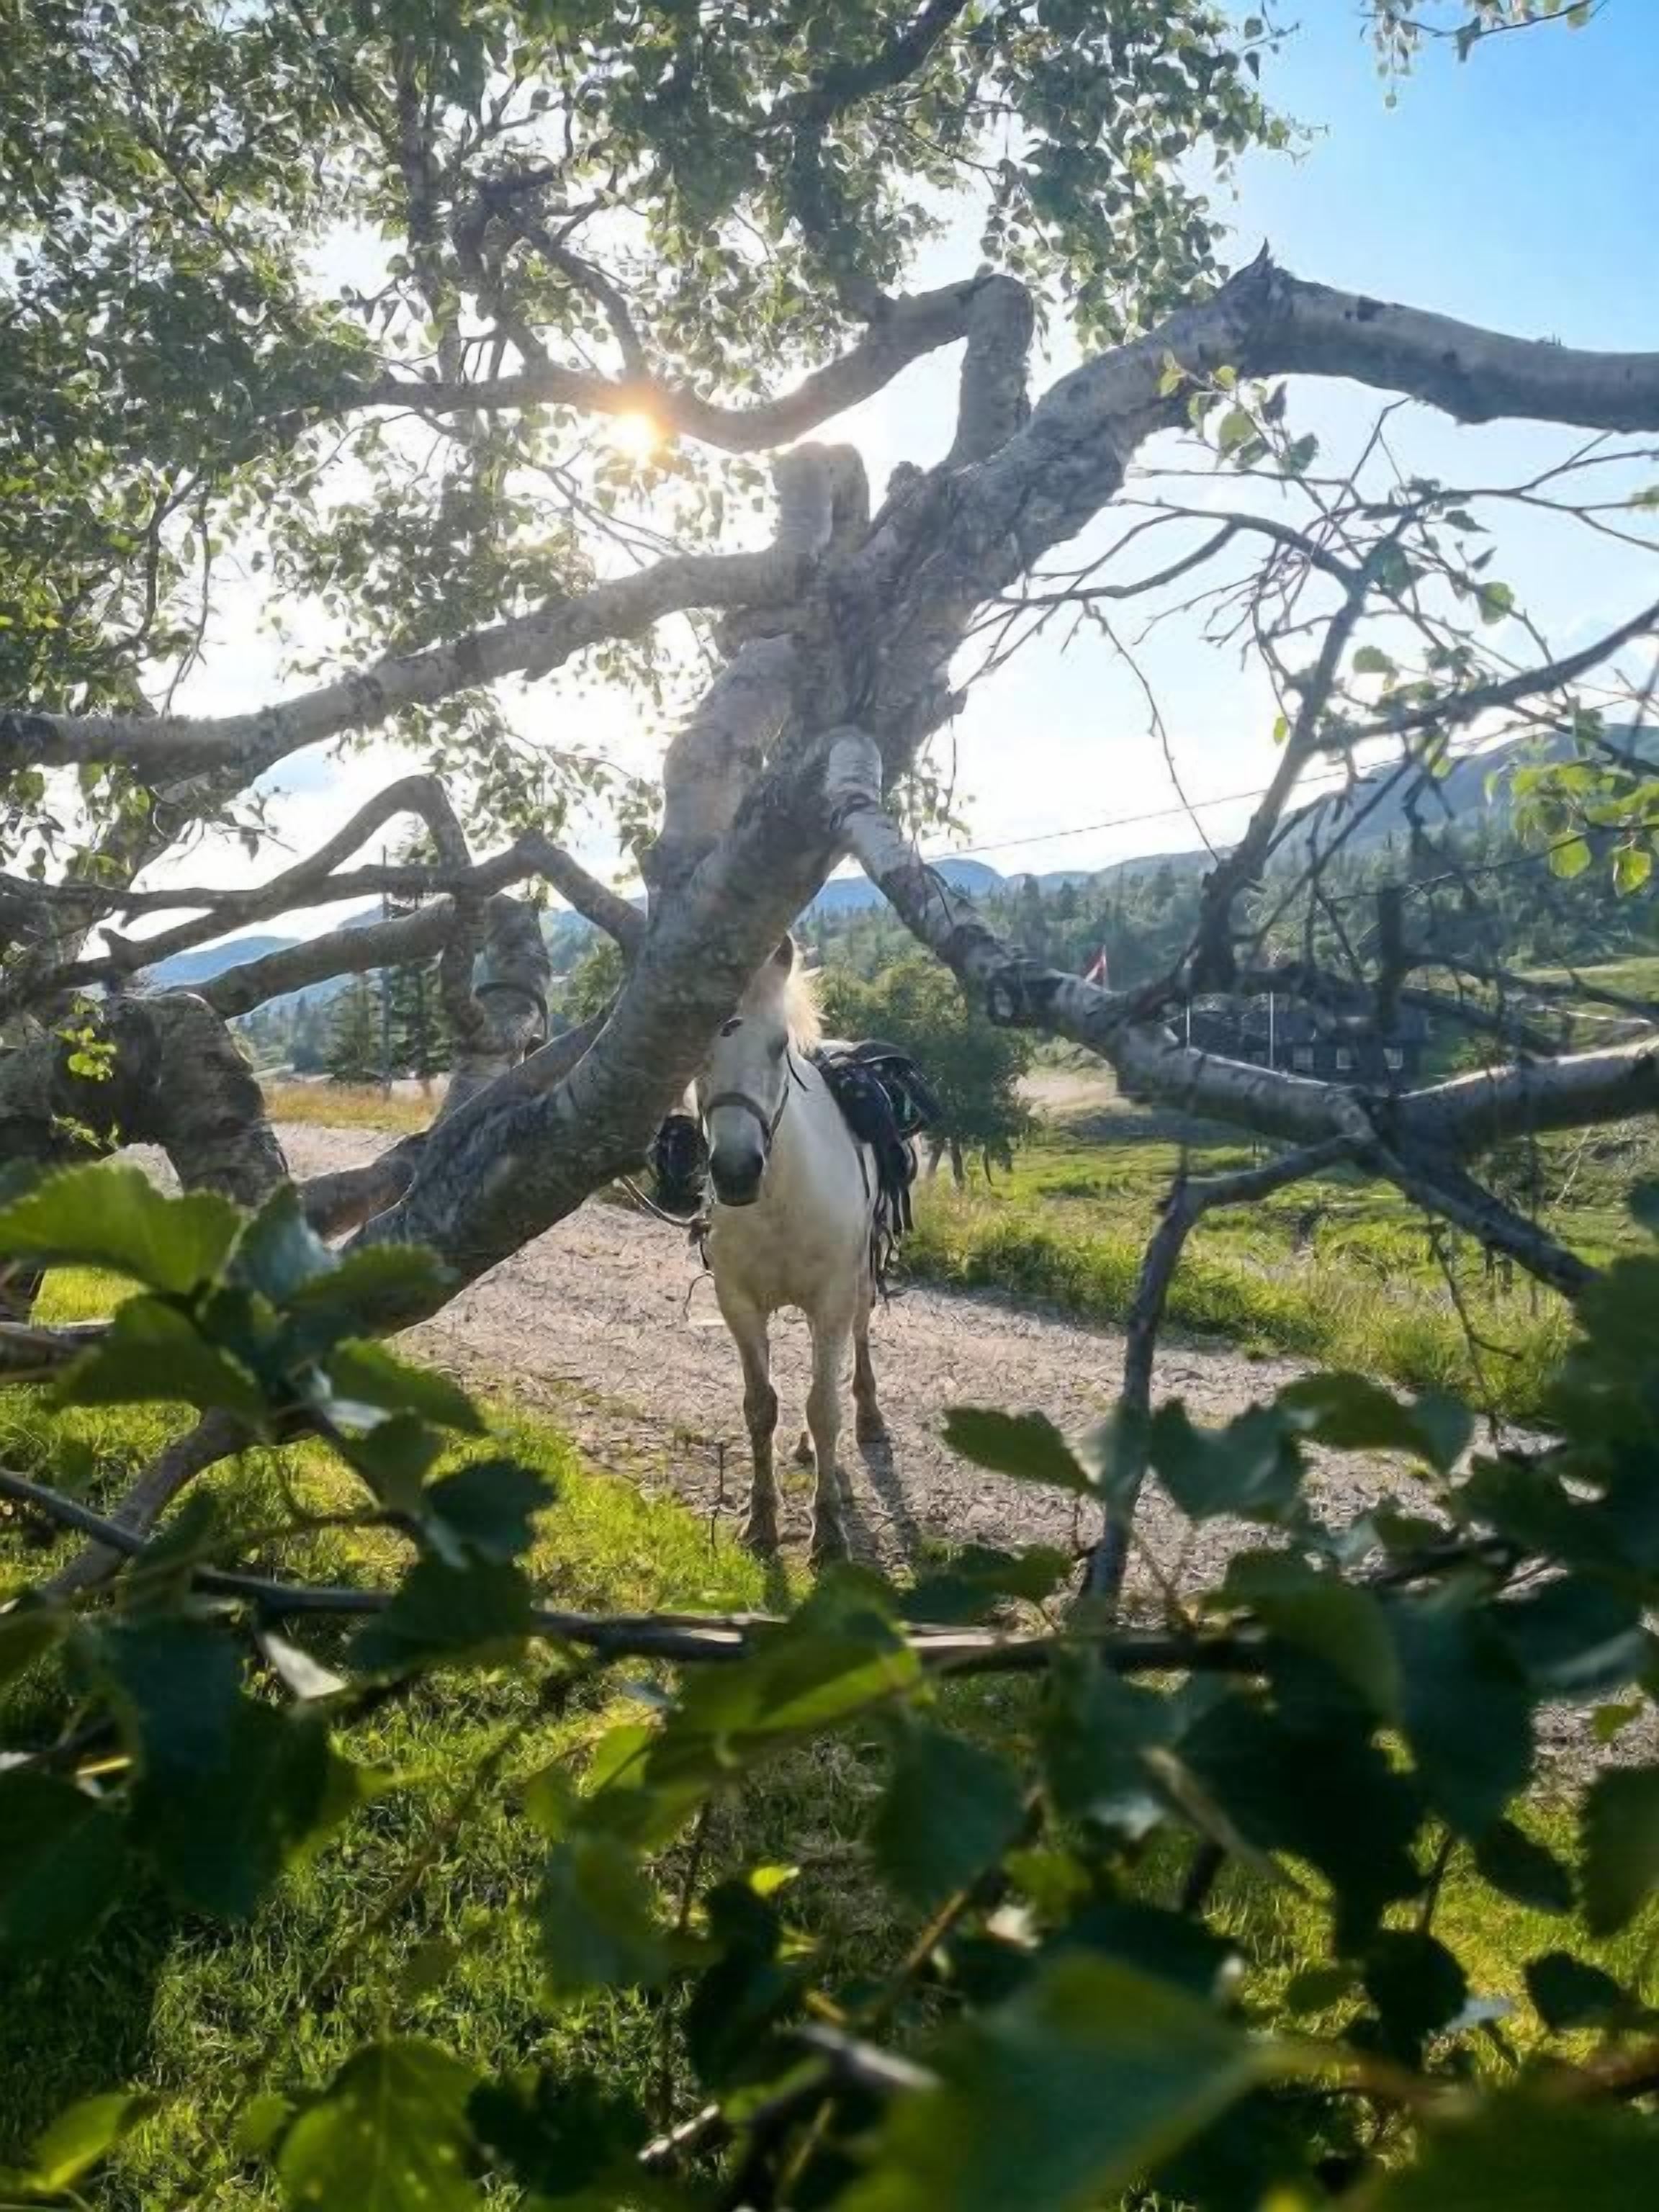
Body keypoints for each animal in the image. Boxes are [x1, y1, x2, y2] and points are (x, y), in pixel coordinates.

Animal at [694, 935, 888, 1565]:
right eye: (695, 1052)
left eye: (779, 1046)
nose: (735, 1171)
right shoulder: (737, 1304)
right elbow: (762, 1408)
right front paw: (761, 1520)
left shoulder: (830, 1297)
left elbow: (824, 1408)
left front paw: (827, 1529)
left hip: (858, 1283)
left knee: (857, 1339)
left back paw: (869, 1415)